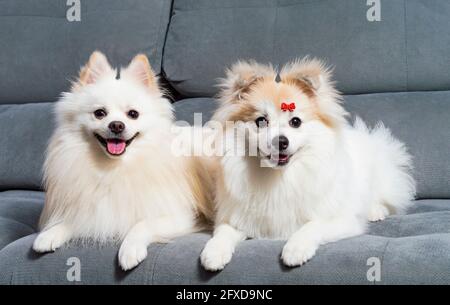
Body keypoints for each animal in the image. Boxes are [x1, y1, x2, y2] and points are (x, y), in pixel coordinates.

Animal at [33, 51, 213, 270]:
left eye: (133, 114)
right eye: (100, 113)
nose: (117, 125)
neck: (114, 168)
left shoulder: (181, 215)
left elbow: (142, 223)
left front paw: (130, 249)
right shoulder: (90, 209)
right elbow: (74, 220)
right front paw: (50, 233)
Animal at [200, 58, 414, 270]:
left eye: (295, 122)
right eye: (261, 121)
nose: (281, 141)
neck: (280, 176)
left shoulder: (342, 220)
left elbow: (313, 225)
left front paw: (296, 249)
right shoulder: (237, 218)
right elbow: (223, 231)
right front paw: (214, 252)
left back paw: (375, 211)